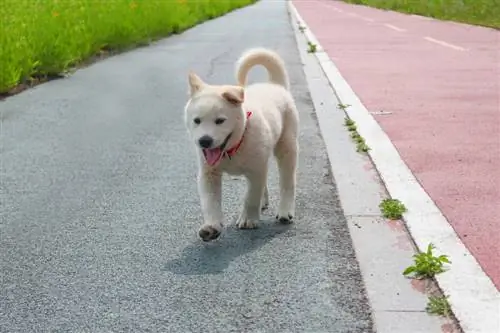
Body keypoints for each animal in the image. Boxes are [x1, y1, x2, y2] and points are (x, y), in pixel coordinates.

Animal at [185, 47, 298, 241]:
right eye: (197, 121)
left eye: (220, 121)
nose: (204, 141)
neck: (234, 147)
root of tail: (275, 85)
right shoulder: (209, 173)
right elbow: (210, 201)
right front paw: (211, 226)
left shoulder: (256, 170)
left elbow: (250, 196)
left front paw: (248, 219)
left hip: (287, 147)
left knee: (287, 181)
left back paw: (285, 211)